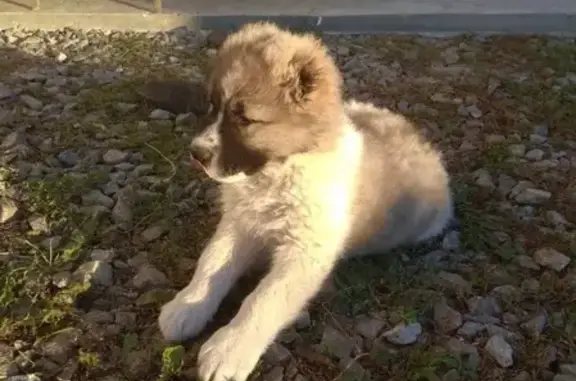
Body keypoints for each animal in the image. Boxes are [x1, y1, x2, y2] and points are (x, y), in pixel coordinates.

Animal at [159, 21, 454, 380]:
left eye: (245, 120)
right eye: (212, 107)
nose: (196, 153)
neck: (276, 173)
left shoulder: (303, 253)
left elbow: (263, 300)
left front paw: (229, 349)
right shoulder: (240, 225)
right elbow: (211, 264)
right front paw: (186, 306)